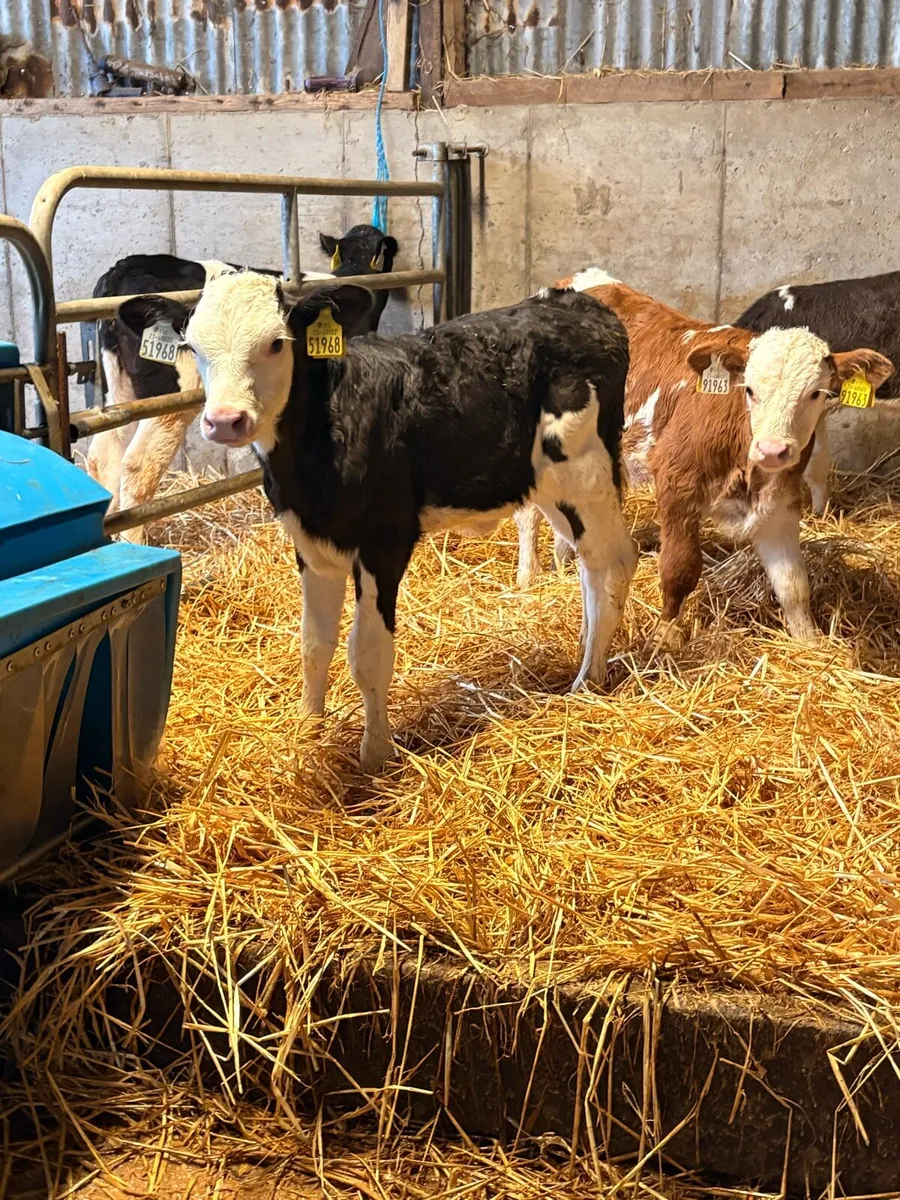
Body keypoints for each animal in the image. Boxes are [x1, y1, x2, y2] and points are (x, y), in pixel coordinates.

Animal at [117, 272, 637, 771]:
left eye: (277, 343)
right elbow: (314, 644)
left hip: (586, 471)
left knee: (613, 563)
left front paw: (375, 756)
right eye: (193, 347)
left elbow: (367, 652)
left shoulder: (384, 541)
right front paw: (306, 730)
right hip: (549, 485)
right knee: (591, 569)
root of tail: (578, 302)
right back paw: (587, 657)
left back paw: (587, 682)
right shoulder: (310, 542)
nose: (225, 421)